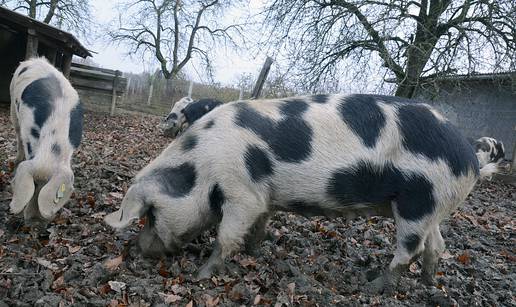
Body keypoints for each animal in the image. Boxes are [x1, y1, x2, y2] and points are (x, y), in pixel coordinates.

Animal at [9, 57, 83, 225]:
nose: (35, 219)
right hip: (12, 105)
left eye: (45, 186)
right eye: (34, 184)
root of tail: (34, 60)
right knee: (17, 134)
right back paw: (16, 161)